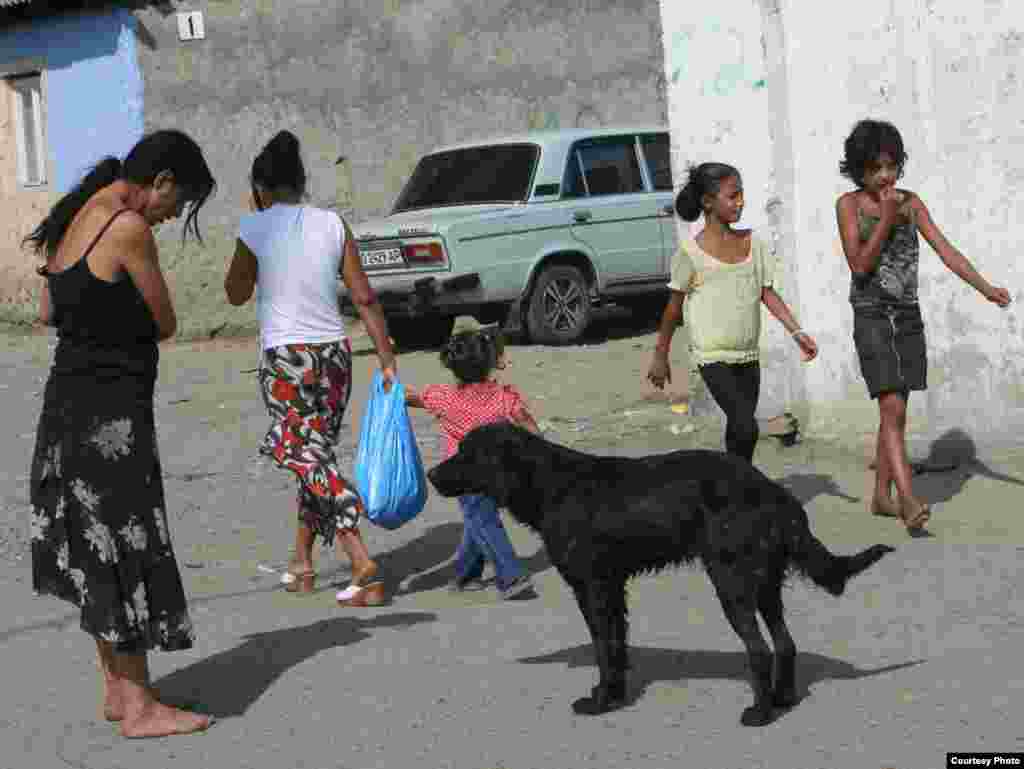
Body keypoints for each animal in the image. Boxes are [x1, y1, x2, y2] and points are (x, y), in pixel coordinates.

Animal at [428, 421, 892, 729]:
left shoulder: (592, 588)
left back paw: (759, 713)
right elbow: (617, 647)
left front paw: (600, 701)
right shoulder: (613, 588)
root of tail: (774, 492)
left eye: (467, 453)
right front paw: (614, 695)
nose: (431, 475)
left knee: (760, 649)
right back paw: (782, 699)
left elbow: (603, 648)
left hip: (731, 583)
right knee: (785, 643)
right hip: (764, 584)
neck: (553, 486)